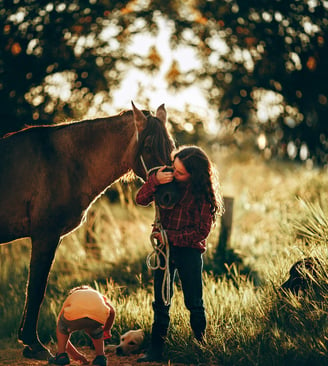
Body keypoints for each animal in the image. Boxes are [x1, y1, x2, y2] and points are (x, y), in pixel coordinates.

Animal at [0, 102, 176, 360]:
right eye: (149, 146)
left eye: (171, 147)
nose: (170, 195)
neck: (62, 162)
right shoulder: (45, 236)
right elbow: (36, 289)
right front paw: (34, 344)